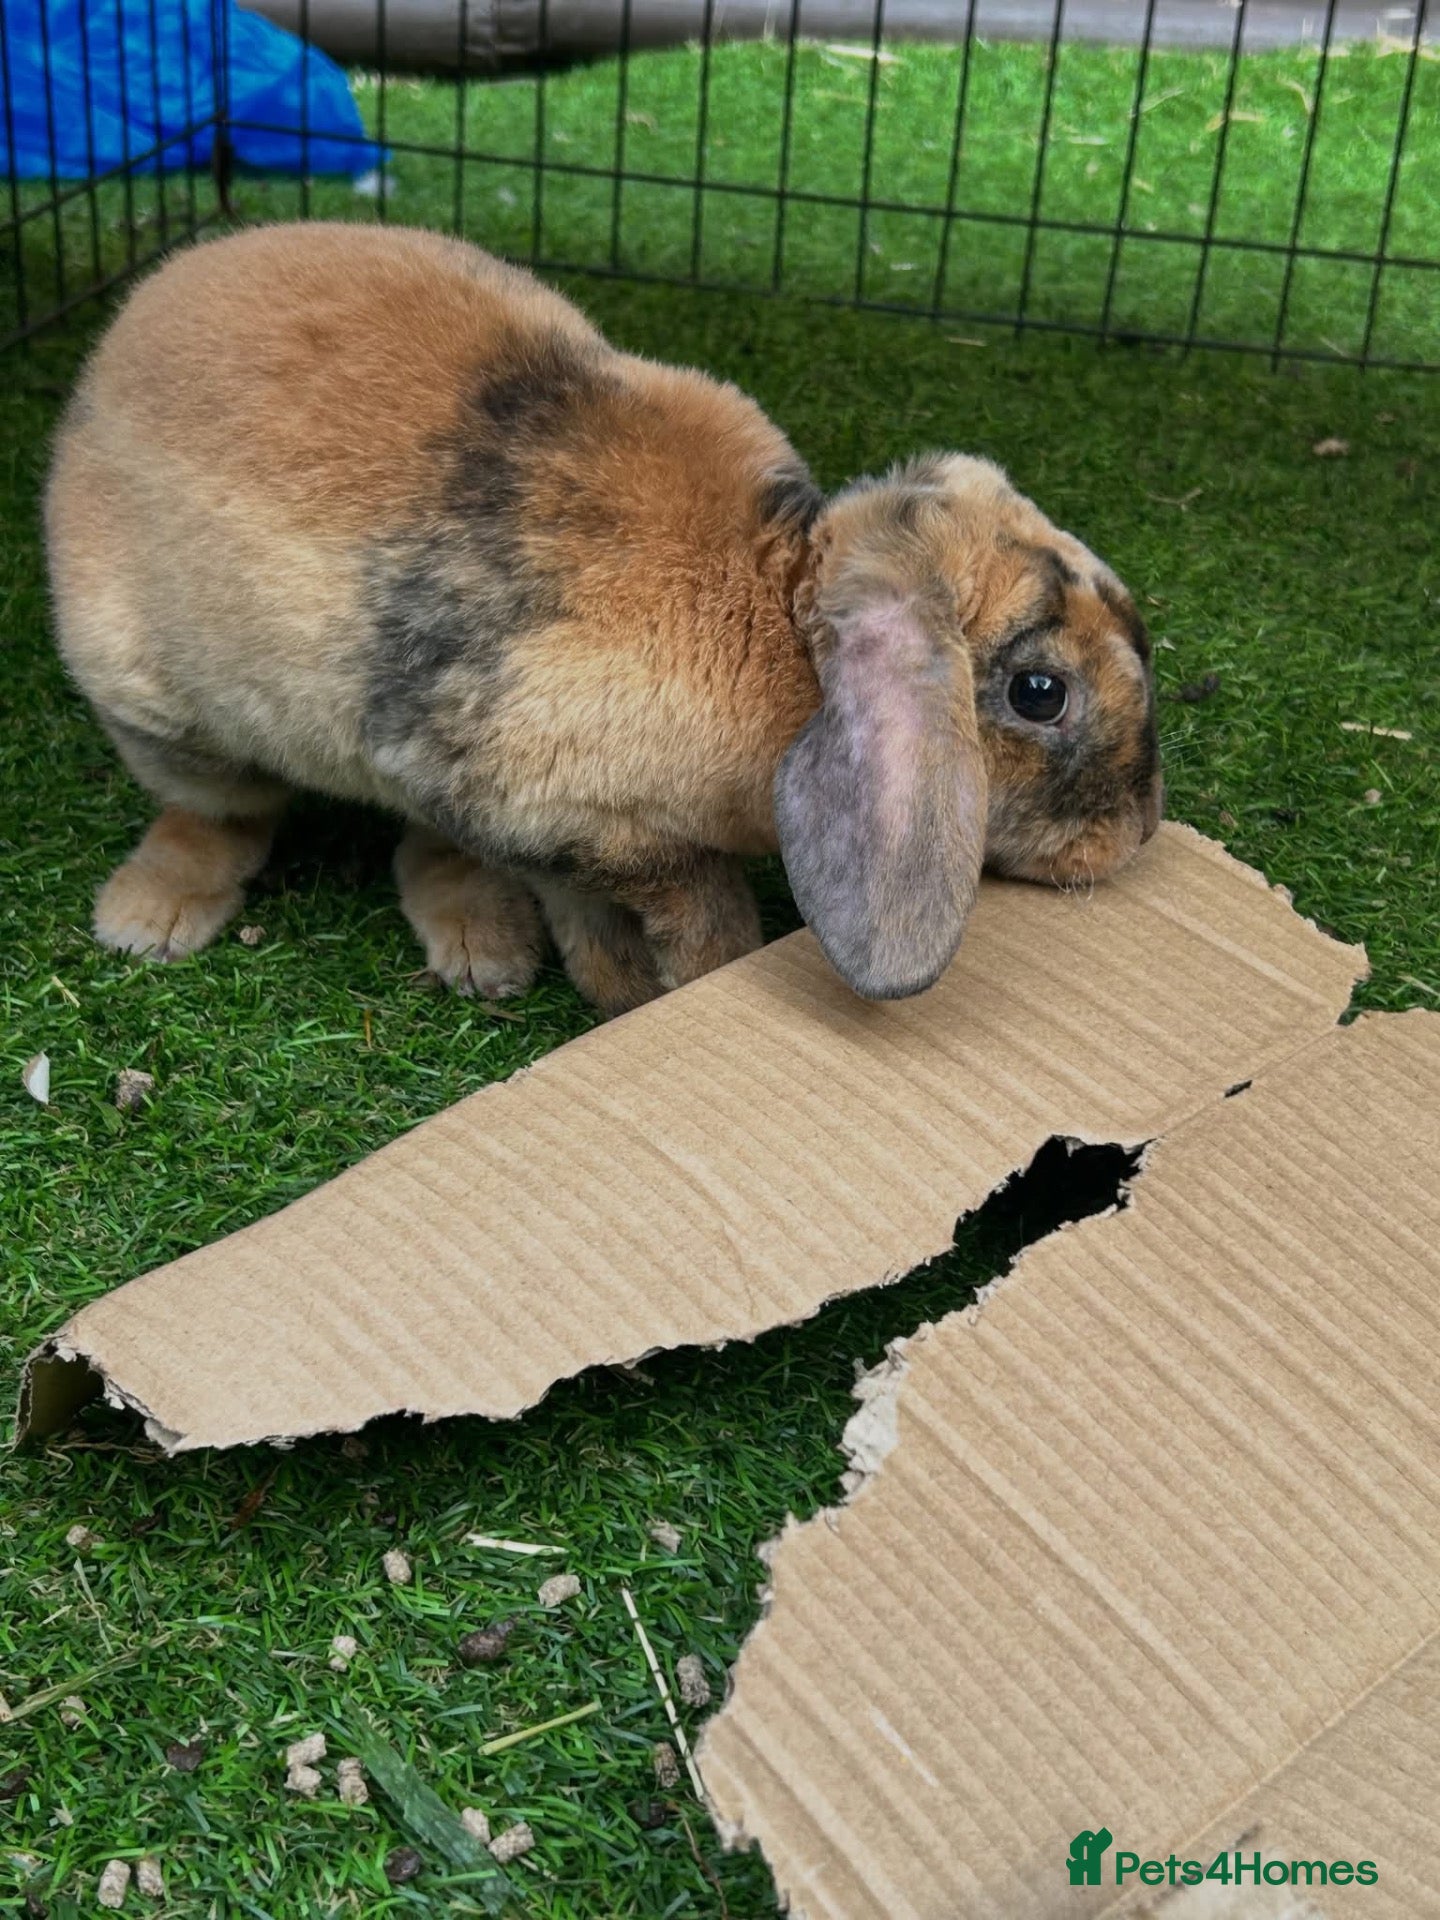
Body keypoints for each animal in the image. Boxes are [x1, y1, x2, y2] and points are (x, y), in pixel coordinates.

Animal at [45, 221, 1162, 1016]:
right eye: (1040, 692)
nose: (1140, 833)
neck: (780, 625)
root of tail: (116, 343)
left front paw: (616, 989)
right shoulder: (590, 829)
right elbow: (695, 915)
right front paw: (670, 987)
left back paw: (485, 953)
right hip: (159, 716)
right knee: (222, 811)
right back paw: (151, 920)